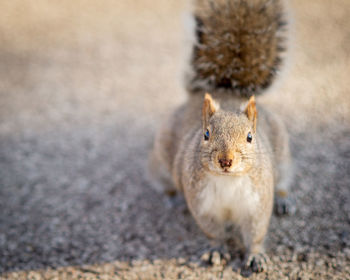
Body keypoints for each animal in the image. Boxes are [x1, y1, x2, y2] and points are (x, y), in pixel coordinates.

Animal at [149, 0, 294, 276]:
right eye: (206, 134)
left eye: (250, 137)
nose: (225, 161)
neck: (229, 182)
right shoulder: (203, 205)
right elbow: (213, 232)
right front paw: (216, 251)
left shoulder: (258, 204)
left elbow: (256, 234)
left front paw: (256, 257)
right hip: (161, 158)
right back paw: (175, 199)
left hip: (282, 157)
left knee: (283, 183)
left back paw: (284, 202)